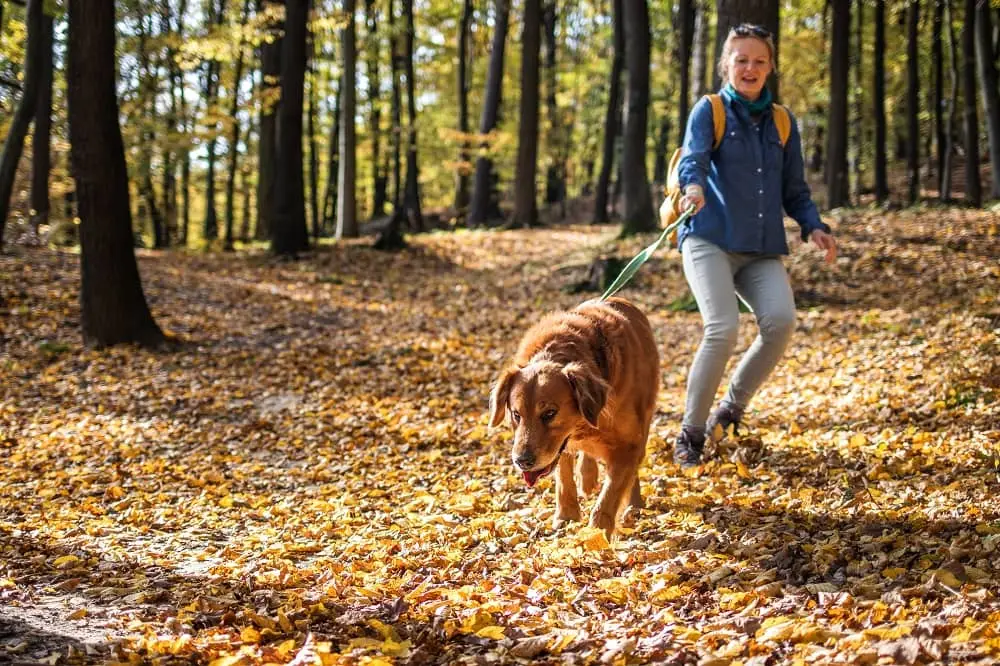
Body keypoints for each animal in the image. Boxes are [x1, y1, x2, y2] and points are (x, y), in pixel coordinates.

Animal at [488, 296, 660, 536]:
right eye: (516, 414)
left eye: (550, 413)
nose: (522, 461)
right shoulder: (560, 446)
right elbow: (563, 477)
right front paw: (567, 516)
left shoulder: (628, 445)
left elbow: (609, 495)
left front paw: (596, 533)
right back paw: (587, 477)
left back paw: (634, 504)